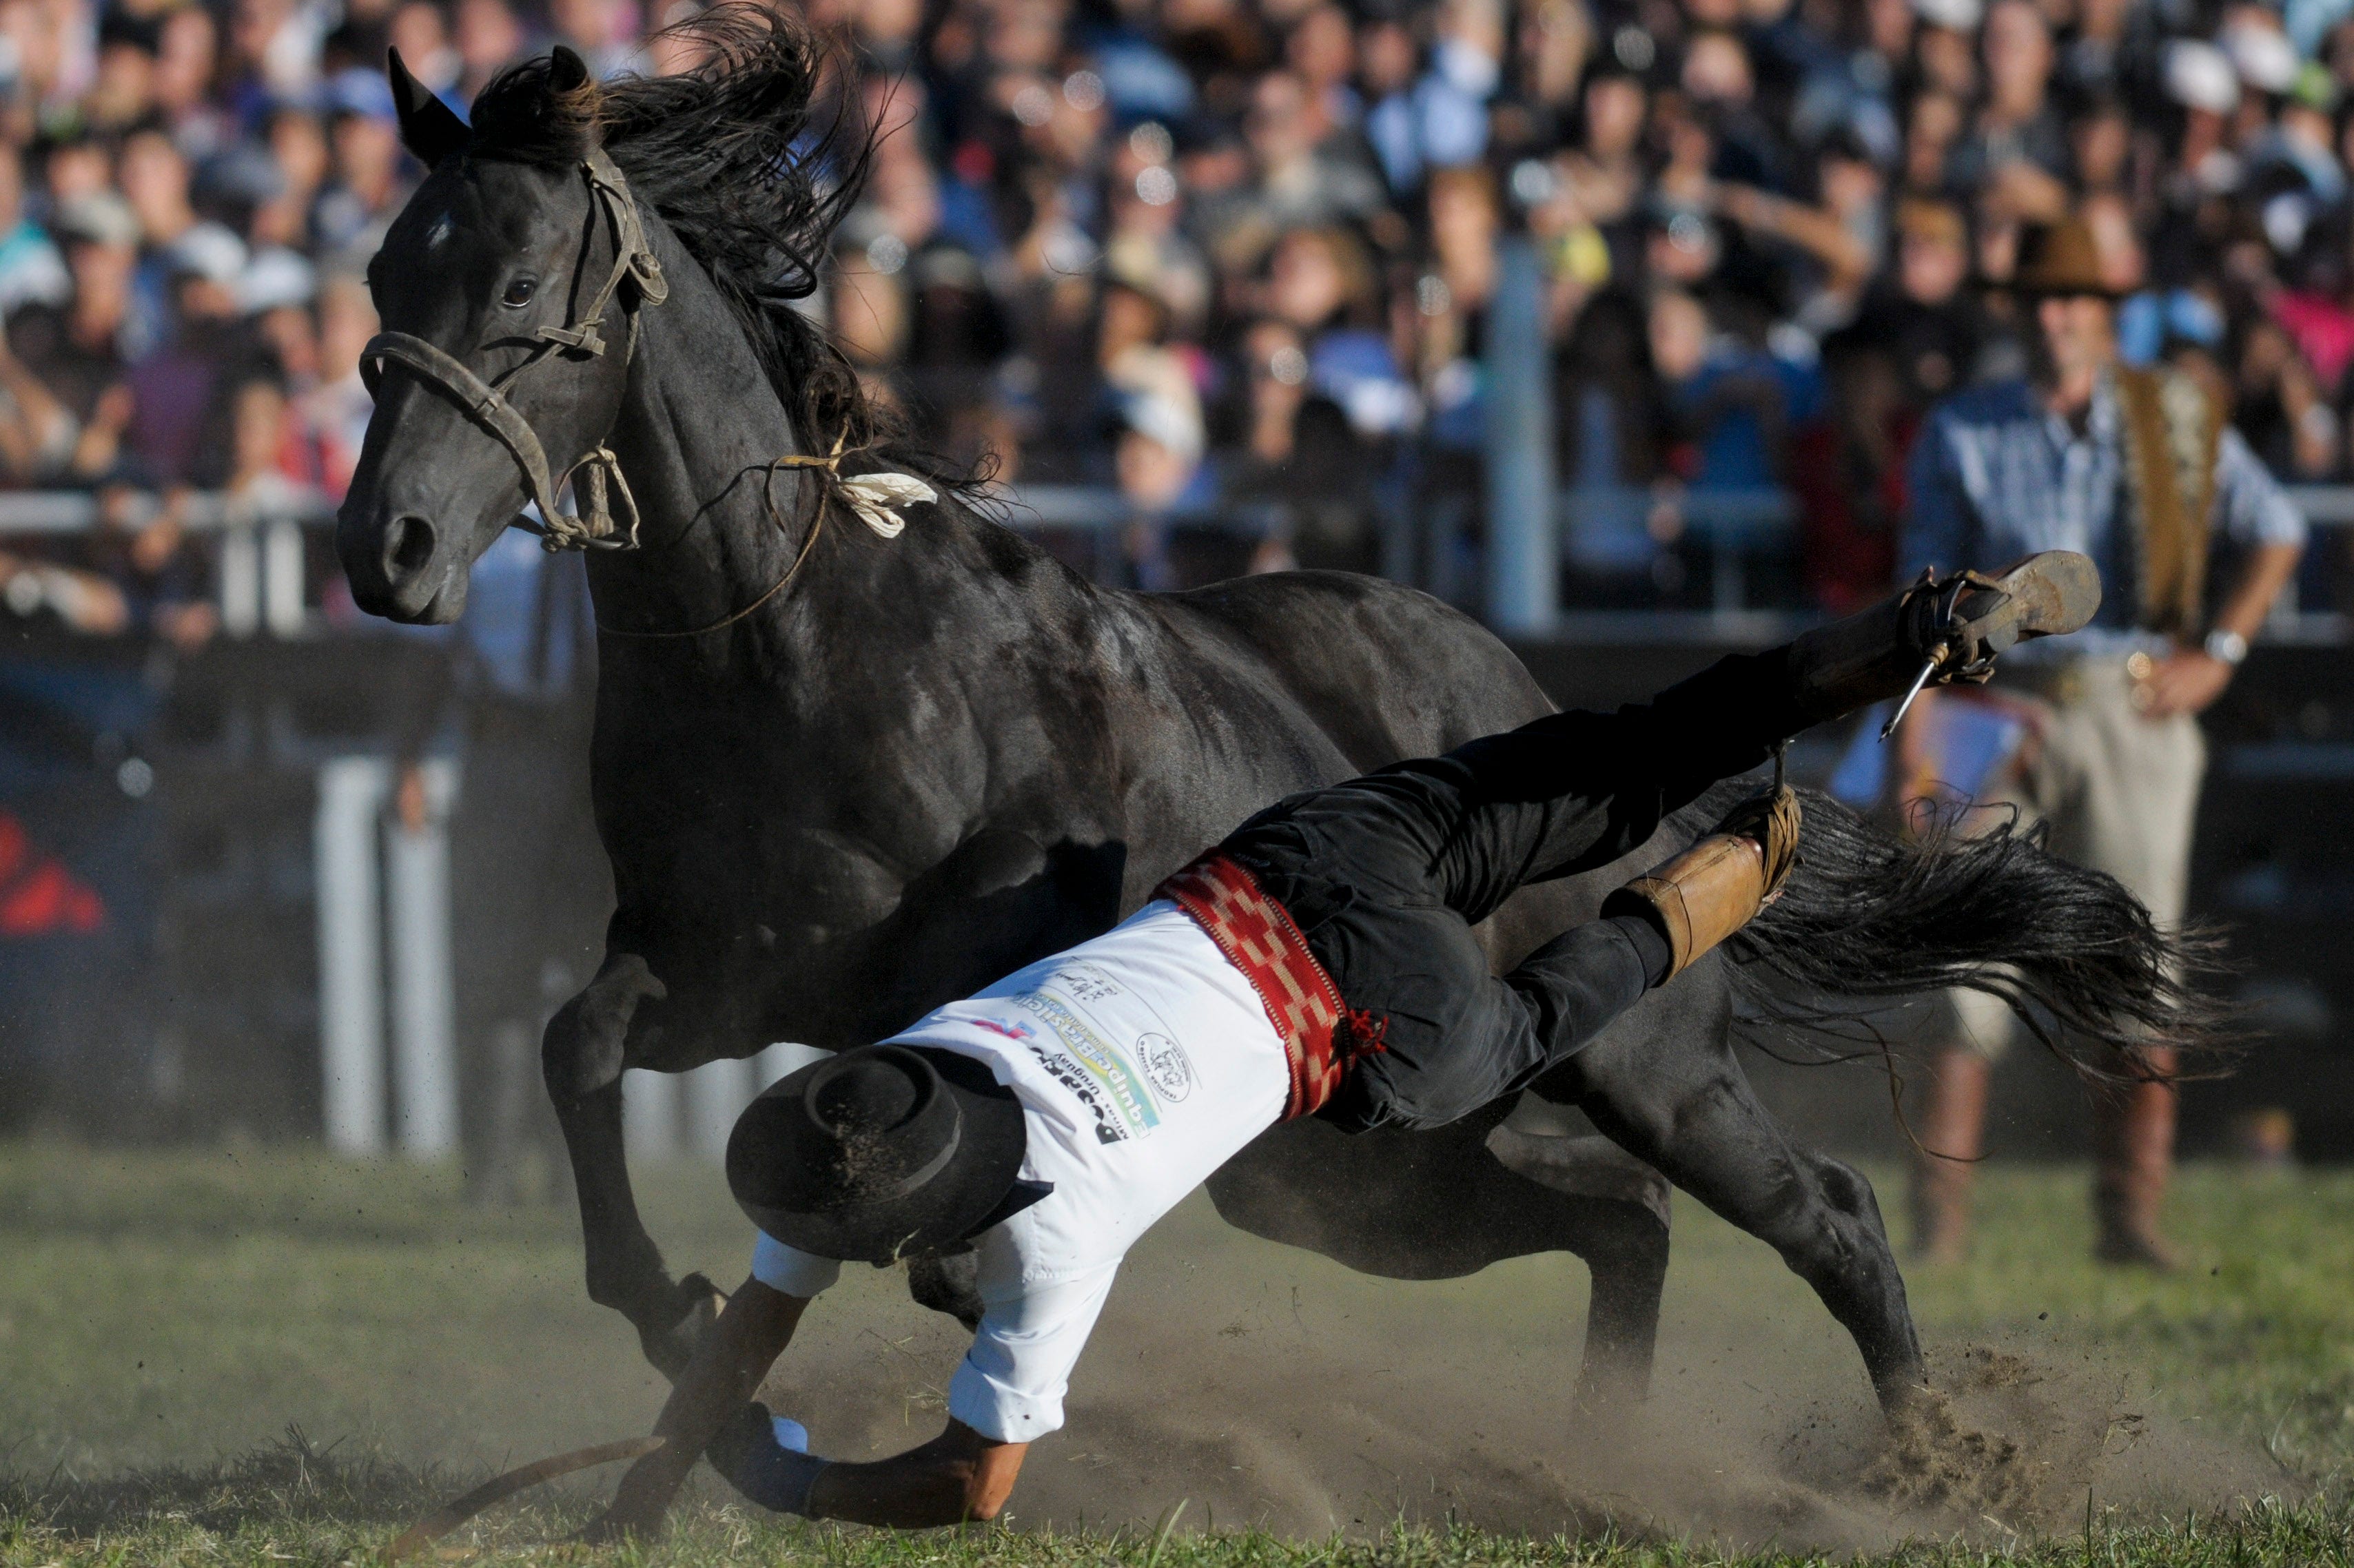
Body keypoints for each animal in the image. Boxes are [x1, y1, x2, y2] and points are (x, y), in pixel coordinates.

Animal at [331, 12, 2203, 1431]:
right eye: (383, 278)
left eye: (522, 287)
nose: (386, 546)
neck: (804, 646)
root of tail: (1521, 683)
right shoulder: (720, 971)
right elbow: (578, 1049)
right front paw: (667, 1304)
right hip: (1360, 1170)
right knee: (1623, 1224)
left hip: (1625, 1071)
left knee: (1820, 1212)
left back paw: (1927, 1450)